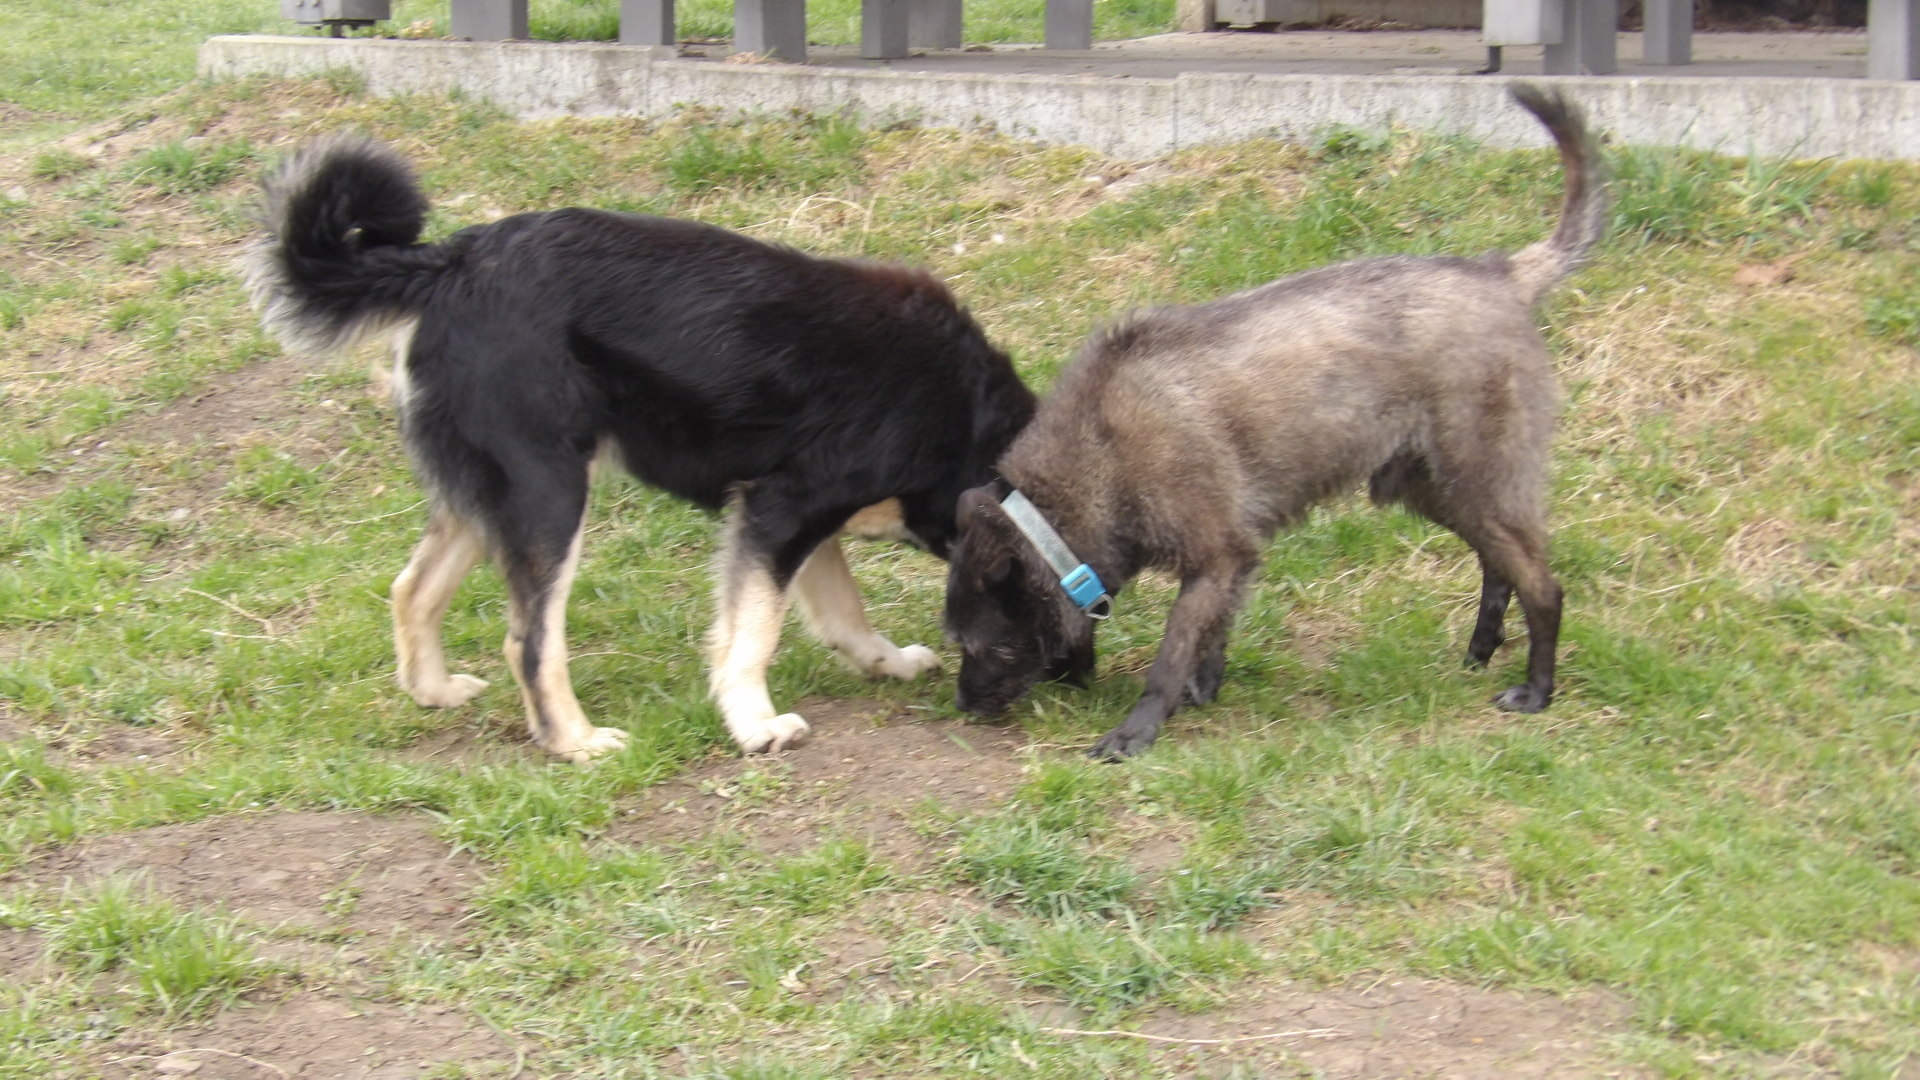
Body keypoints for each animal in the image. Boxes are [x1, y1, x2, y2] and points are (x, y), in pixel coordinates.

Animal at [246, 137, 1035, 763]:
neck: (969, 422)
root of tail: (449, 261)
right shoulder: (781, 511)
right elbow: (753, 633)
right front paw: (754, 725)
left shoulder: (800, 519)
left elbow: (840, 611)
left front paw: (886, 662)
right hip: (549, 490)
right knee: (528, 641)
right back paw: (575, 742)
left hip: (488, 491)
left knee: (412, 590)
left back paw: (433, 690)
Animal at [943, 84, 1608, 760]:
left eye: (978, 646)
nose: (963, 705)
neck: (1101, 450)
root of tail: (1503, 274)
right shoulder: (1228, 571)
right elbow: (1210, 638)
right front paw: (1204, 687)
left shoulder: (1216, 558)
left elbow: (1170, 654)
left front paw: (1141, 727)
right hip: (1440, 490)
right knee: (1498, 567)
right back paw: (1480, 651)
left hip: (1479, 483)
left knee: (1543, 587)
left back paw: (1538, 689)